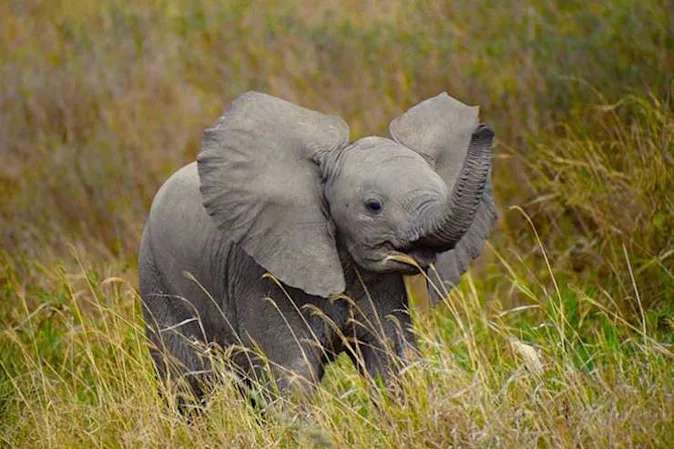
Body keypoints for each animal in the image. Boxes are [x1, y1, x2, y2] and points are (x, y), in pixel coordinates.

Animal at [138, 91, 496, 406]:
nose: (484, 128)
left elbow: (392, 361)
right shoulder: (260, 277)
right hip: (157, 283)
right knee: (187, 385)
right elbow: (291, 378)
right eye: (373, 206)